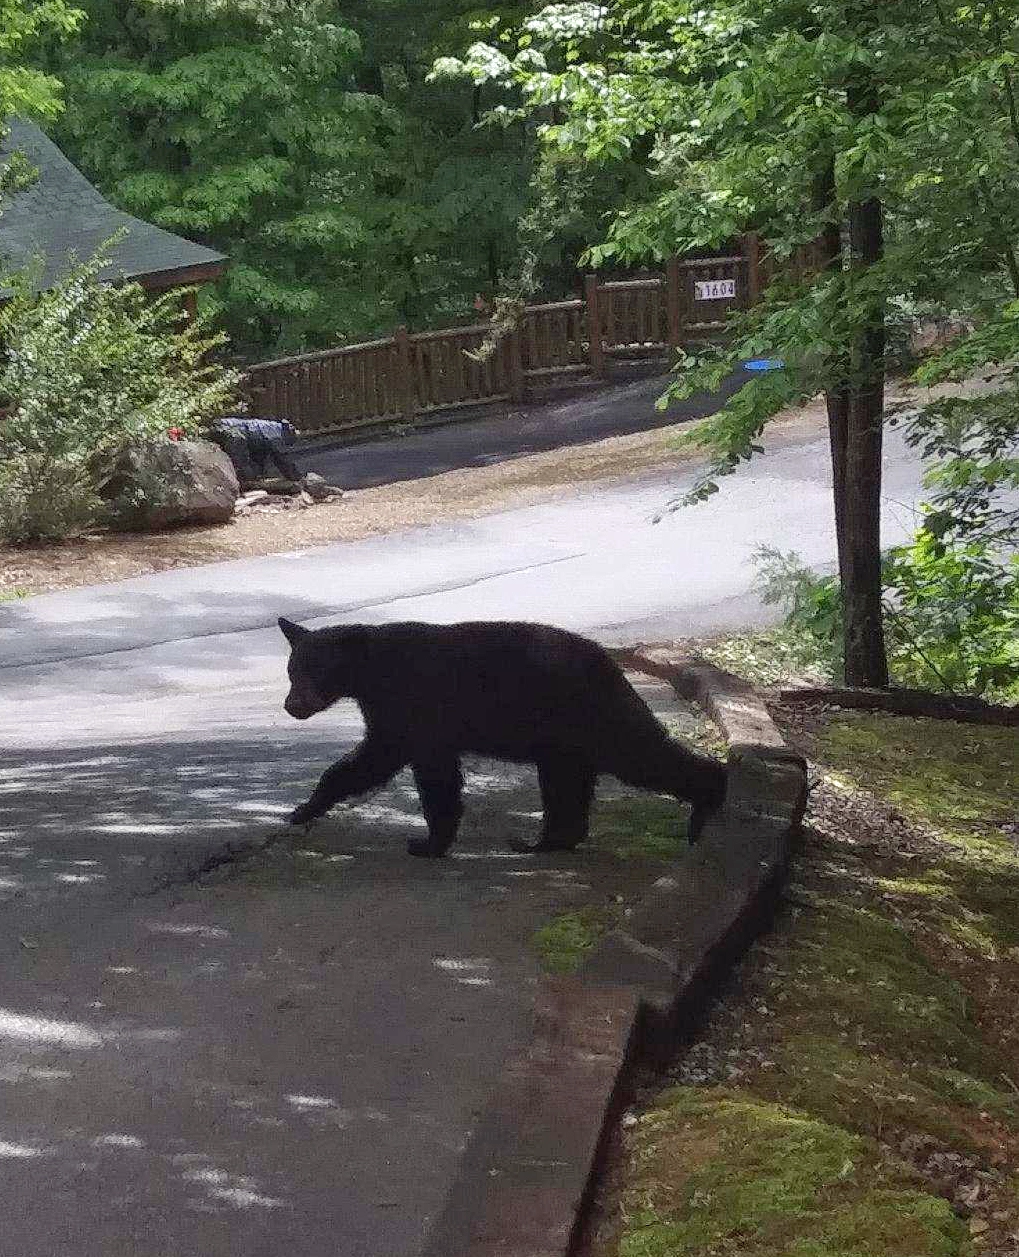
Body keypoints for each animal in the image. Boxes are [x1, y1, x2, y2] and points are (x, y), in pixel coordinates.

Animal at [279, 617, 727, 858]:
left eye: (313, 670)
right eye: (291, 670)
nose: (290, 705)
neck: (372, 672)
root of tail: (608, 660)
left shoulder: (415, 705)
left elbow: (415, 769)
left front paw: (428, 843)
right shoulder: (395, 715)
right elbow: (377, 760)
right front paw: (304, 809)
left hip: (590, 713)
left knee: (636, 753)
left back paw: (708, 800)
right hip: (563, 737)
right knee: (567, 782)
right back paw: (547, 842)